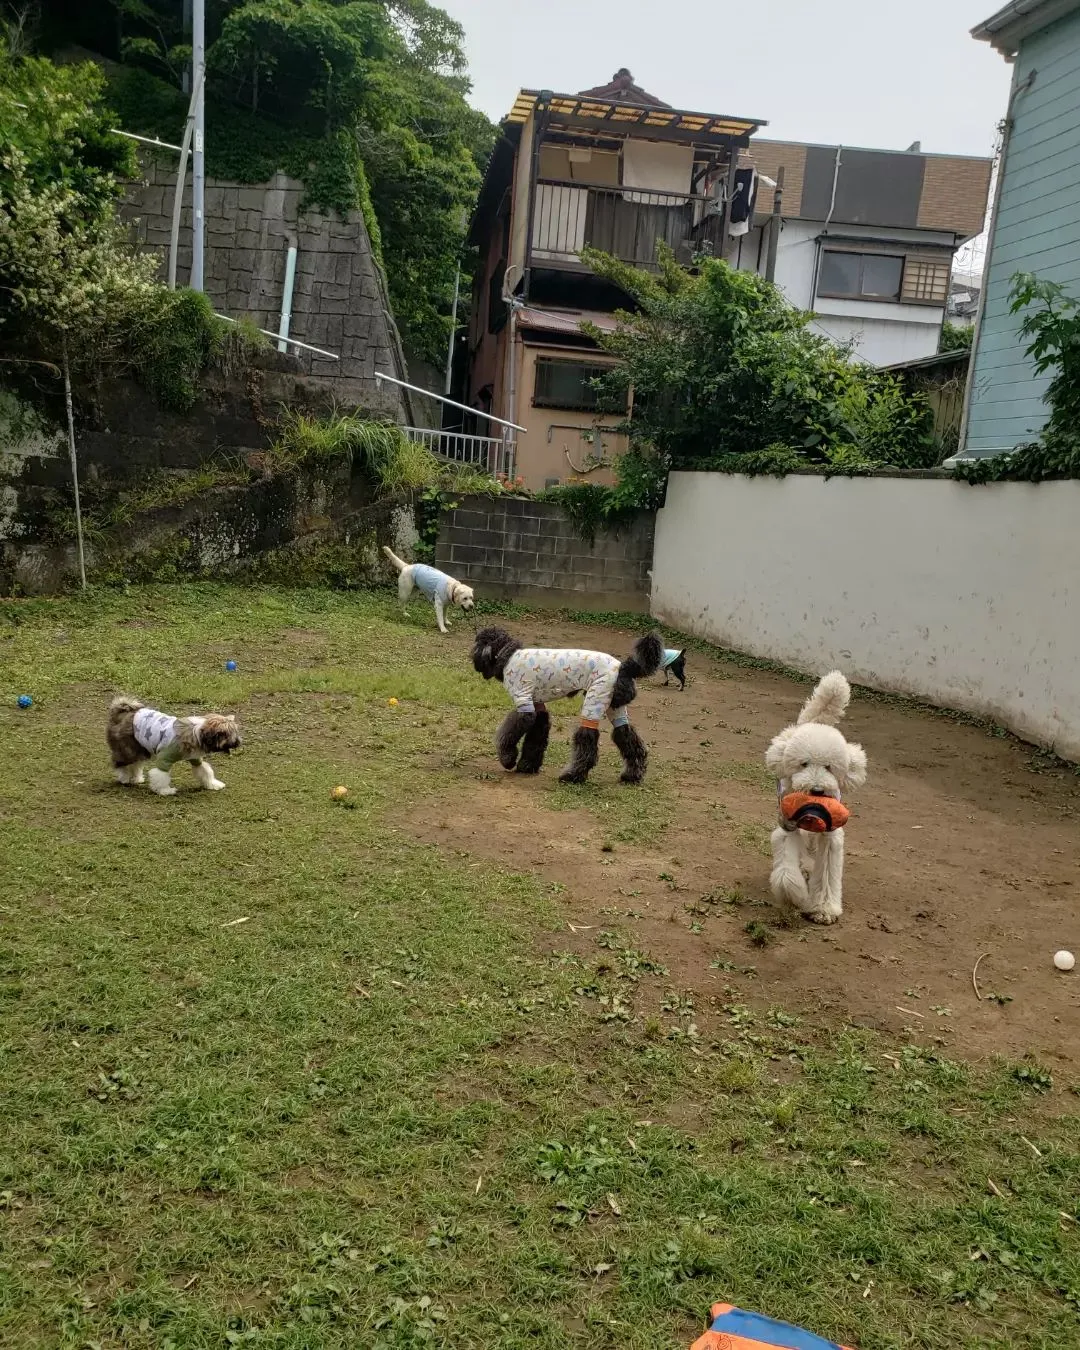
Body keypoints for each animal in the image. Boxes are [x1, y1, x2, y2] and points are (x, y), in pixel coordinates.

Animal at [104, 702, 240, 793]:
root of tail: (122, 713)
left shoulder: (195, 758)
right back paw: (124, 778)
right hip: (128, 749)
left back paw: (136, 778)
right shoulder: (165, 758)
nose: (239, 742)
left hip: (139, 748)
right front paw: (165, 790)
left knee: (135, 765)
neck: (197, 733)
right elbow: (161, 775)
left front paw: (213, 784)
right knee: (121, 764)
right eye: (229, 734)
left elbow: (205, 770)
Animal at [475, 626, 666, 788]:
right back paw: (632, 775)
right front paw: (527, 765)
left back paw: (572, 776)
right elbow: (536, 736)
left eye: (477, 644)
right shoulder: (537, 706)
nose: (475, 663)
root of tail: (624, 667)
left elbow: (508, 734)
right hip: (614, 706)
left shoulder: (524, 703)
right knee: (626, 736)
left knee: (587, 740)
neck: (507, 654)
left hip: (595, 699)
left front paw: (507, 758)